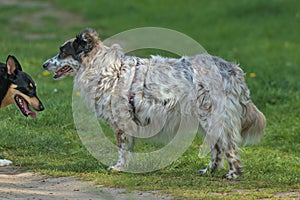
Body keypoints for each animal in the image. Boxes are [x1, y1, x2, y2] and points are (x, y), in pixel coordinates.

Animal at [42, 28, 264, 180]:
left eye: (62, 51)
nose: (44, 64)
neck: (107, 70)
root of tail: (233, 70)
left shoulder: (120, 123)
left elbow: (122, 149)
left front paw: (118, 167)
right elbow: (128, 148)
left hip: (213, 117)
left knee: (228, 146)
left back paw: (233, 174)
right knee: (216, 147)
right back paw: (209, 171)